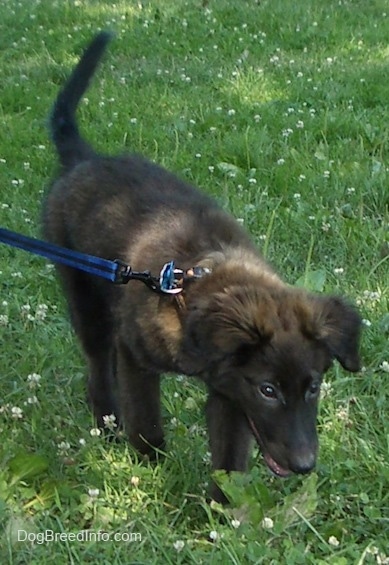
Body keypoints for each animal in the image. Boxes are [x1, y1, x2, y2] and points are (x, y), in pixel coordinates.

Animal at [43, 33, 360, 502]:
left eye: (314, 387)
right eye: (268, 390)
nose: (305, 466)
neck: (194, 284)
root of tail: (84, 158)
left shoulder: (228, 393)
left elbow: (229, 459)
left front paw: (222, 508)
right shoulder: (137, 358)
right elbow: (147, 424)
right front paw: (149, 471)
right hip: (84, 296)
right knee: (98, 365)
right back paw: (107, 423)